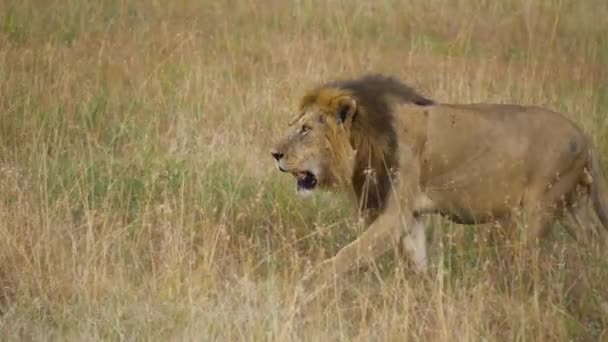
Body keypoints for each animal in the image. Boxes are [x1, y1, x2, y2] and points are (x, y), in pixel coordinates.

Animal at [270, 73, 608, 290]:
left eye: (305, 129)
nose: (274, 154)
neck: (366, 139)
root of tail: (584, 136)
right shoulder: (411, 215)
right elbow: (417, 259)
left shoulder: (395, 213)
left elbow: (347, 255)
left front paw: (306, 286)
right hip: (571, 208)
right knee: (595, 242)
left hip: (540, 208)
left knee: (527, 260)